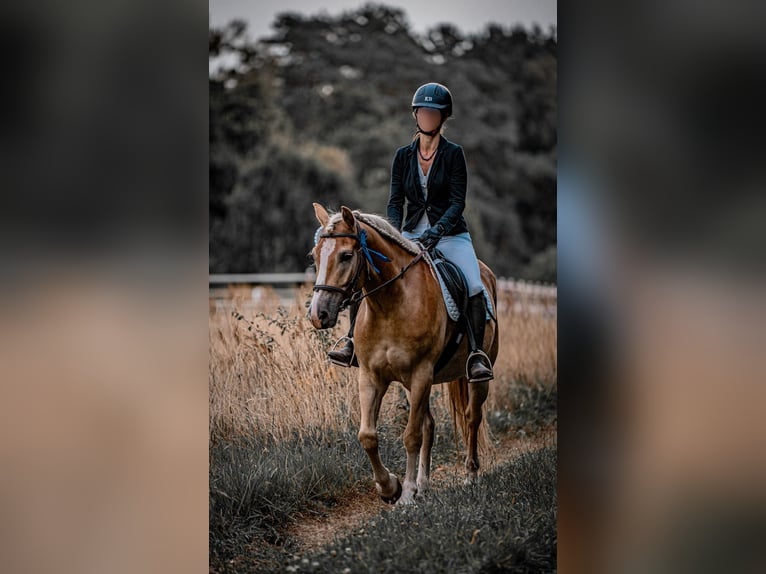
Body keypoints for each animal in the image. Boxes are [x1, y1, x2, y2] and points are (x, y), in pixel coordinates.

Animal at [308, 205, 500, 506]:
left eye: (346, 255)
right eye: (315, 256)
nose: (318, 315)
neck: (390, 305)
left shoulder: (421, 373)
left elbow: (411, 436)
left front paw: (406, 494)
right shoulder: (371, 376)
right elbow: (368, 435)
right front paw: (390, 488)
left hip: (470, 379)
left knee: (471, 417)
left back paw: (469, 475)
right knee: (429, 425)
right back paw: (423, 484)